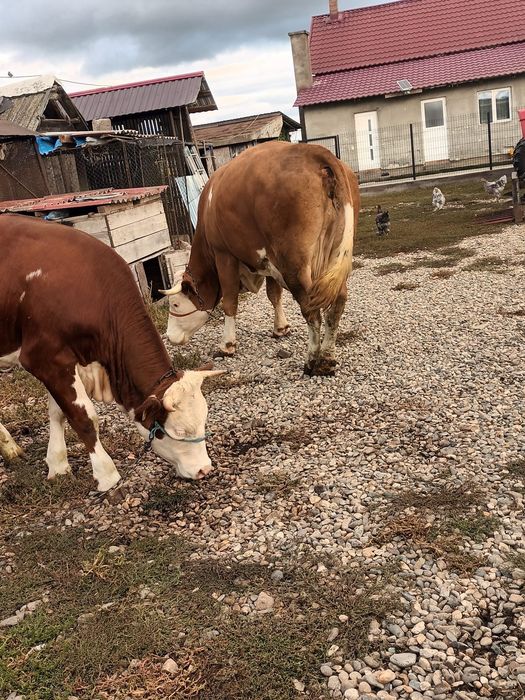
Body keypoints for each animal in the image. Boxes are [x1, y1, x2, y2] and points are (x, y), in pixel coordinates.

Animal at [0, 214, 223, 491]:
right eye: (180, 431)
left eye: (204, 420)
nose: (204, 469)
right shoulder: (45, 358)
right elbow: (83, 417)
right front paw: (106, 475)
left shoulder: (62, 363)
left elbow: (58, 412)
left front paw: (57, 465)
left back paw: (9, 449)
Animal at [161, 141, 359, 376]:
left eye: (175, 304)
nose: (169, 336)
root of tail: (313, 151)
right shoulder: (268, 261)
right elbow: (274, 295)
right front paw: (281, 328)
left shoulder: (224, 255)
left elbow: (230, 301)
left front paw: (227, 345)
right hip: (330, 258)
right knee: (337, 302)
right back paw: (328, 357)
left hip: (294, 264)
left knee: (311, 309)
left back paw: (312, 359)